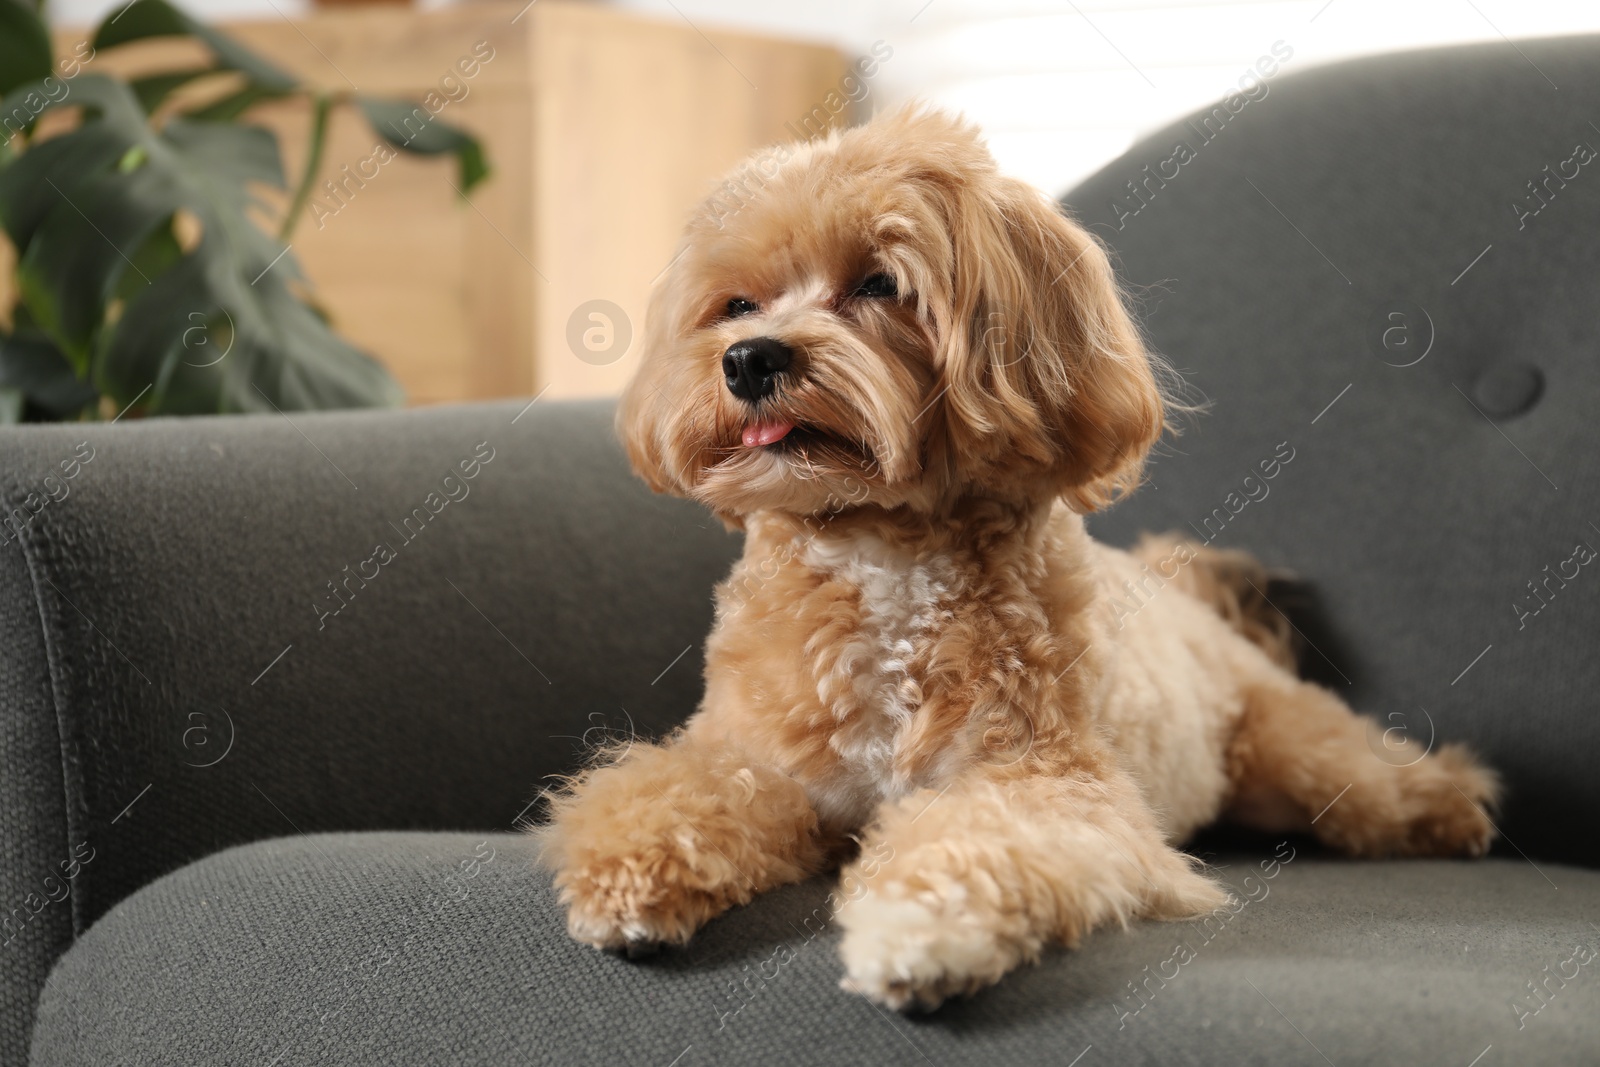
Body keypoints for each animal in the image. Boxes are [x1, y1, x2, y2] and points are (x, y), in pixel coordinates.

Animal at [544, 106, 1504, 1011]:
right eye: (737, 305)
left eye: (879, 284)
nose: (749, 360)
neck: (881, 548)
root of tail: (1191, 604)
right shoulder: (763, 760)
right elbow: (678, 789)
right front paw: (628, 874)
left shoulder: (1044, 779)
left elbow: (982, 840)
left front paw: (921, 929)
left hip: (1309, 756)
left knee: (1393, 778)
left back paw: (1459, 813)